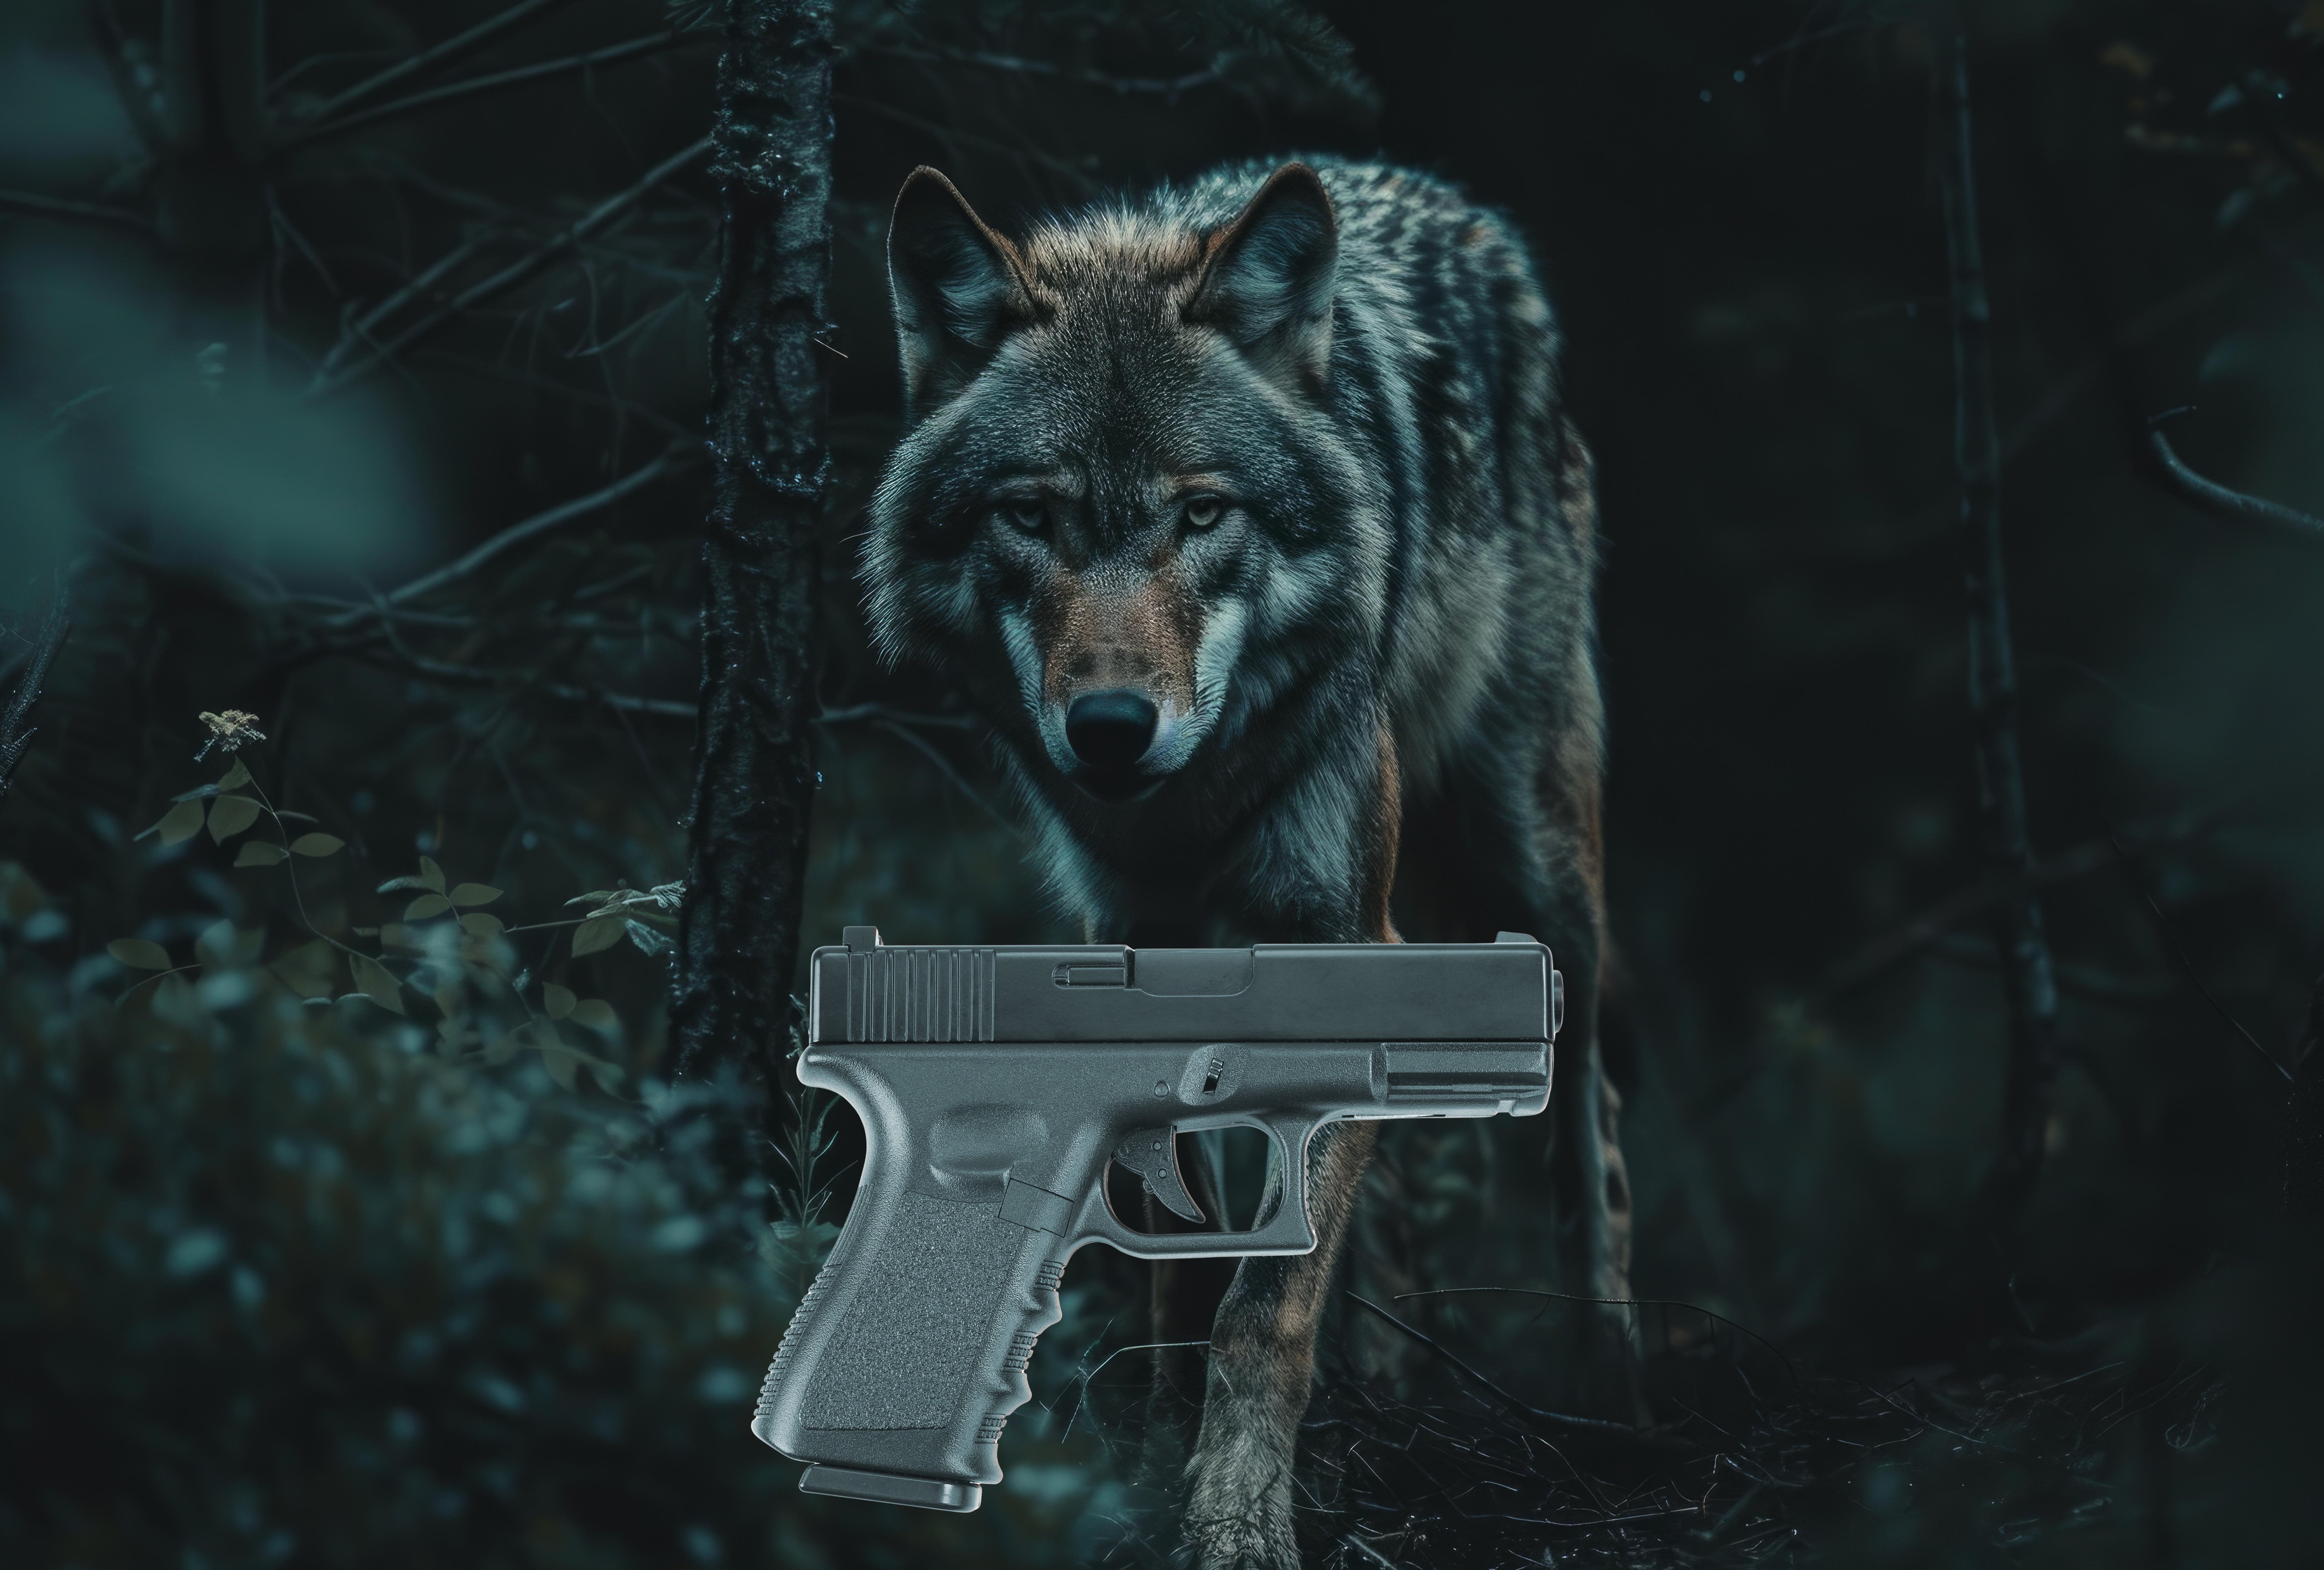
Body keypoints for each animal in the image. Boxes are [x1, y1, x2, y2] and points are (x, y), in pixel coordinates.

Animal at [861, 155, 1631, 1568]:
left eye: (1202, 511)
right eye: (1029, 514)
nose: (1111, 727)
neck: (1187, 807)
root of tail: (1455, 207)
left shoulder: (1336, 928)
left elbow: (1261, 1302)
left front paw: (1232, 1516)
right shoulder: (1133, 939)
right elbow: (1183, 1252)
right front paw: (1152, 1459)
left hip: (1536, 862)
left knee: (1589, 1124)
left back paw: (1613, 1393)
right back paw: (1388, 1386)